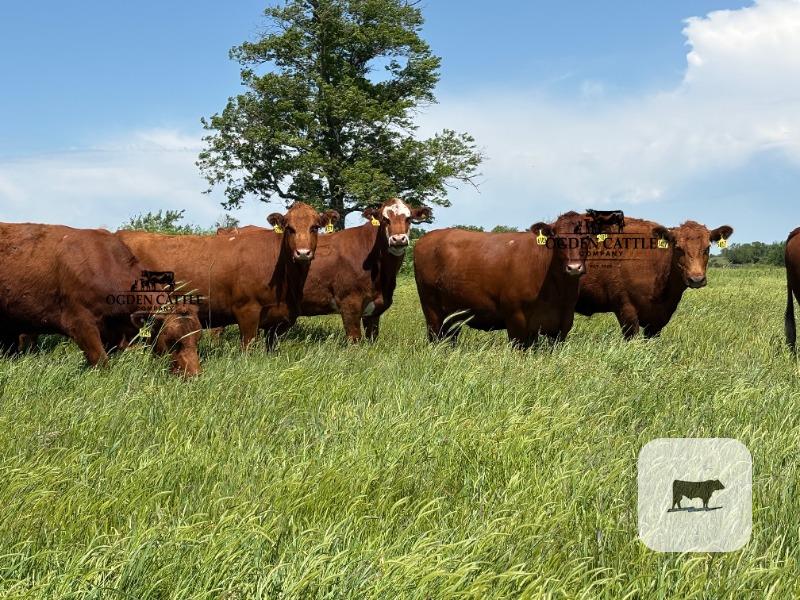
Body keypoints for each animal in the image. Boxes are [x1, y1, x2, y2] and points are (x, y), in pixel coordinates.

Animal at [117, 202, 338, 349]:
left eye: (314, 227)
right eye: (289, 228)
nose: (303, 253)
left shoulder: (279, 321)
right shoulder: (247, 311)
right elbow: (248, 347)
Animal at [299, 198, 432, 341]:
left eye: (408, 218)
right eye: (385, 219)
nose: (398, 239)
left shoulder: (374, 310)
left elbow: (372, 338)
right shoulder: (349, 303)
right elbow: (355, 338)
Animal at [413, 212, 590, 347]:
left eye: (586, 237)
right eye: (558, 238)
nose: (574, 267)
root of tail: (428, 237)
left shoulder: (563, 323)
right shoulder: (516, 318)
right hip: (431, 309)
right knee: (436, 338)